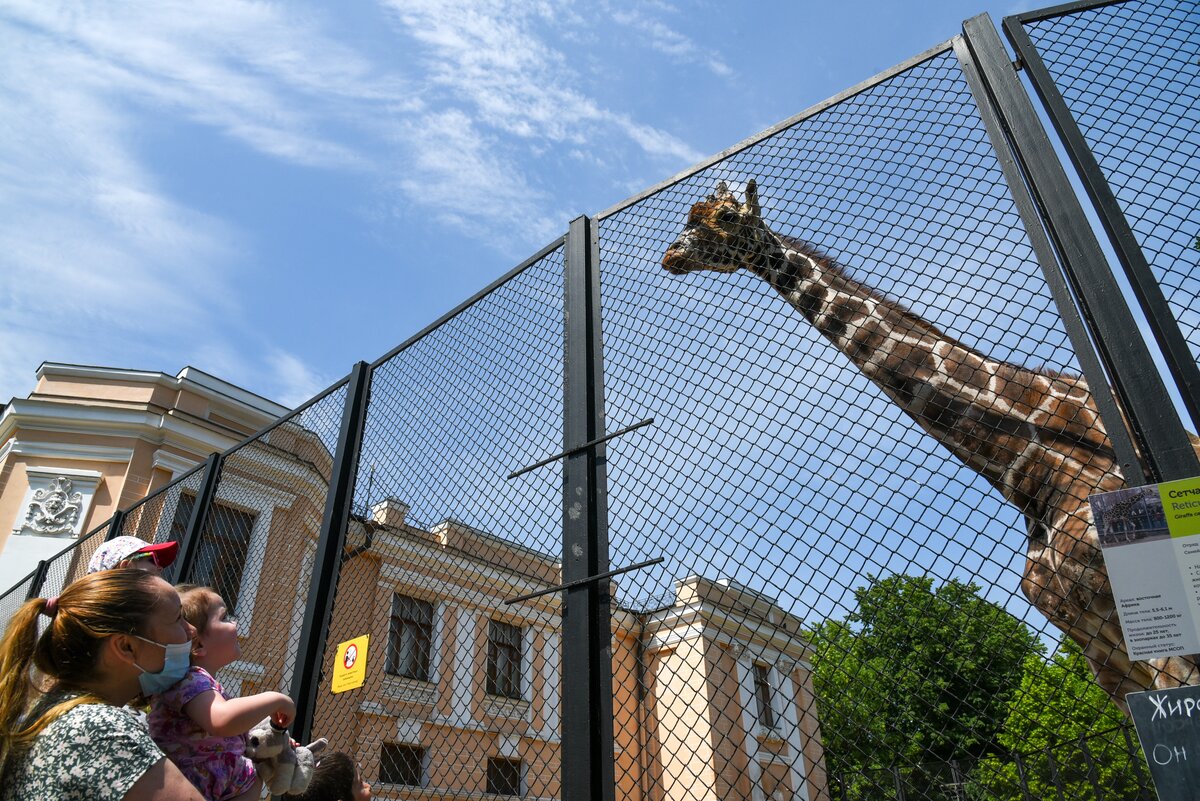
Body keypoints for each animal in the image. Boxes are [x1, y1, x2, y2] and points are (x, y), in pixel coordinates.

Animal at [662, 178, 1200, 709]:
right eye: (688, 218)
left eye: (726, 217)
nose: (671, 255)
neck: (1023, 470)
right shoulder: (1103, 653)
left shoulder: (1159, 628)